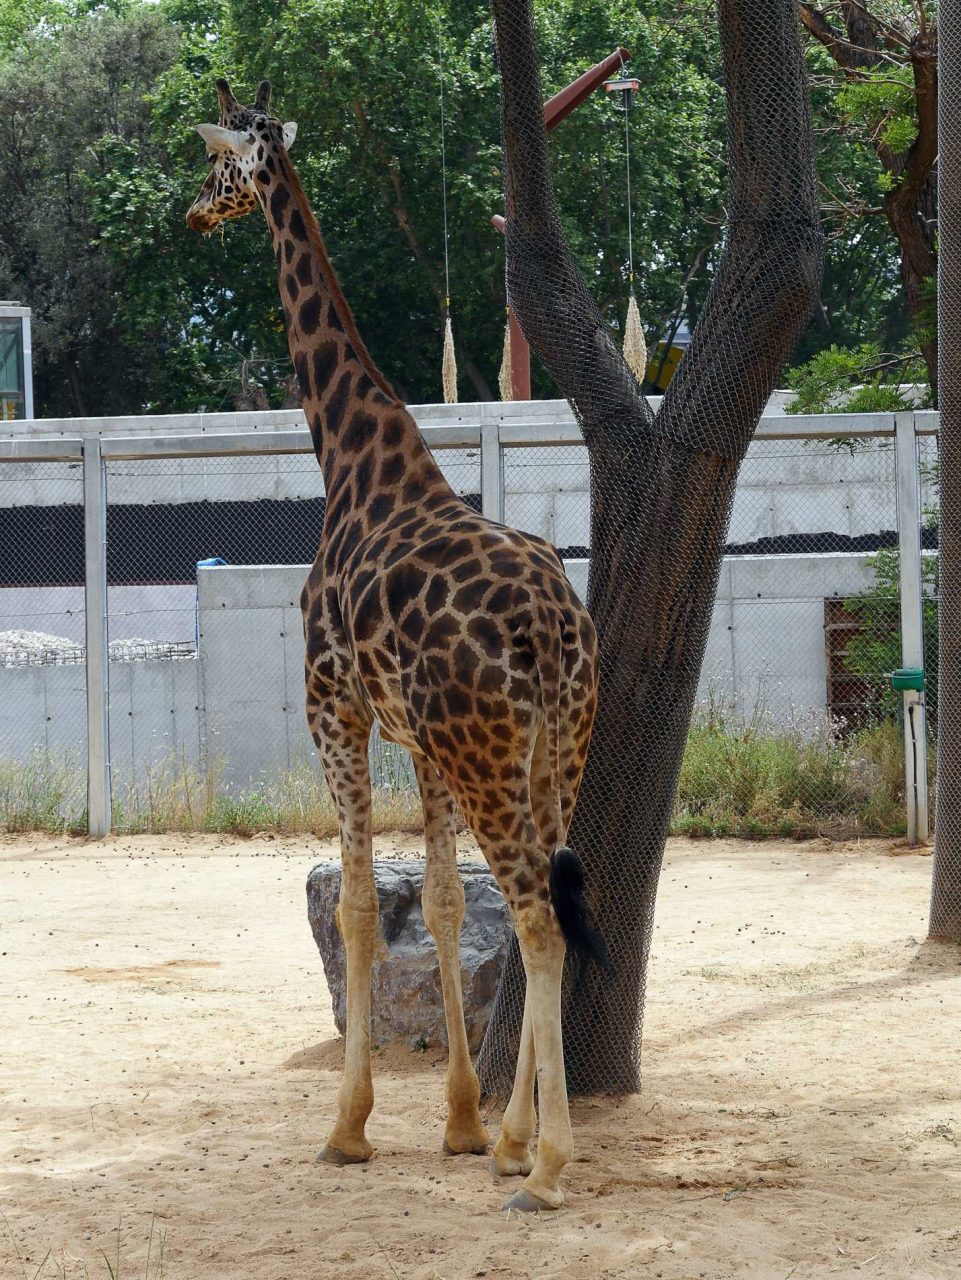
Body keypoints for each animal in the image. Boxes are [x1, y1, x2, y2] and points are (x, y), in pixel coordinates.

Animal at [188, 77, 603, 1208]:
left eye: (216, 164)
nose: (192, 217)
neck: (353, 461)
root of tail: (552, 626)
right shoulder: (421, 741)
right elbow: (450, 909)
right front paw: (464, 1123)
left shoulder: (333, 703)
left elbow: (362, 910)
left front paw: (349, 1127)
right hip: (550, 747)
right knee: (548, 900)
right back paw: (522, 1142)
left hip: (491, 749)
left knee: (537, 915)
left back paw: (550, 1168)